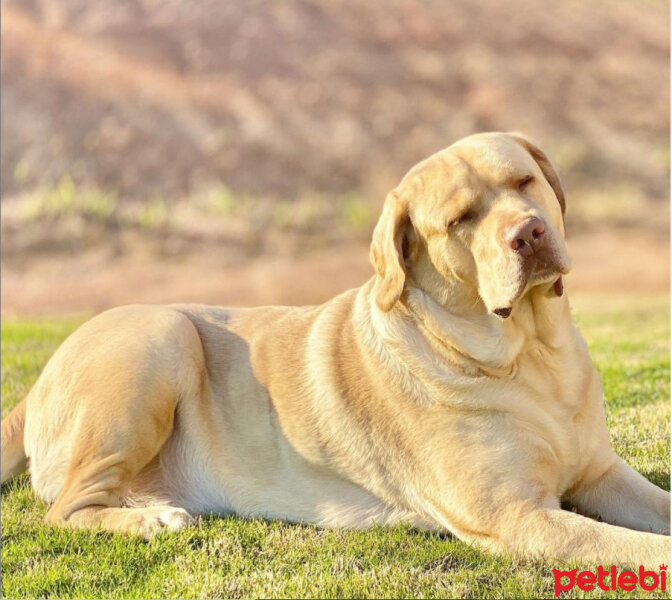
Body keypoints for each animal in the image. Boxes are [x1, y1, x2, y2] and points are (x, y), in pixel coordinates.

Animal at [2, 132, 668, 568]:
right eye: (460, 220)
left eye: (523, 181)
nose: (528, 232)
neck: (530, 357)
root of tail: (38, 382)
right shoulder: (516, 515)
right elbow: (638, 547)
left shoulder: (602, 473)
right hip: (159, 338)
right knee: (65, 510)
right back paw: (151, 520)